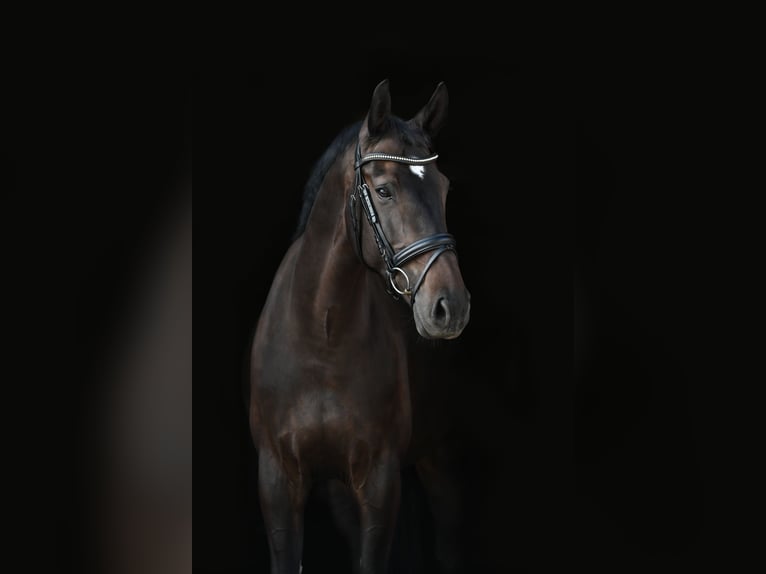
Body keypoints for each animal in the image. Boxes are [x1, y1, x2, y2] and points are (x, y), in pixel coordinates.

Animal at [250, 79, 471, 574]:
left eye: (444, 188)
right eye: (385, 190)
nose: (450, 306)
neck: (321, 337)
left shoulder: (379, 481)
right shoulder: (278, 479)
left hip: (440, 453)